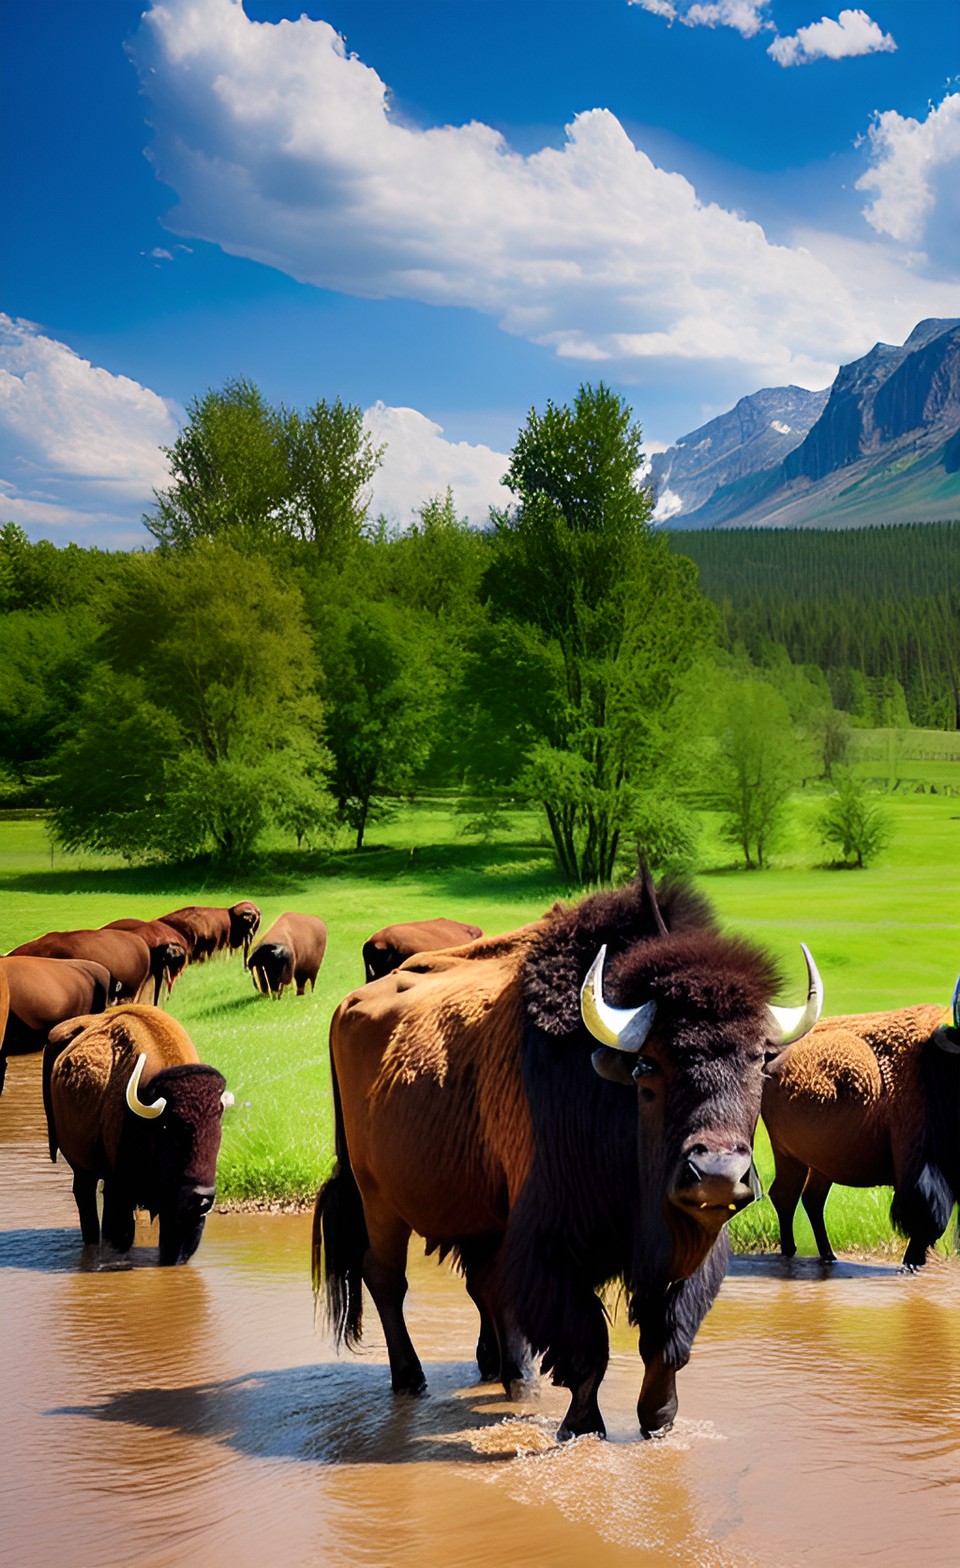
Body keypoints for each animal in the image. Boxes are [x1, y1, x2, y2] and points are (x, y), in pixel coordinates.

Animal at [44, 1003, 233, 1273]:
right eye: (167, 1126)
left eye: (218, 1124)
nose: (201, 1196)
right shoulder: (119, 1191)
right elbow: (119, 1237)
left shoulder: (178, 1213)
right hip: (82, 1168)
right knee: (86, 1205)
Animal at [310, 878, 821, 1436]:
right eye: (648, 1066)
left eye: (761, 1061)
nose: (717, 1174)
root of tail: (347, 1006)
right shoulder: (550, 1245)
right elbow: (586, 1345)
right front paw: (582, 1426)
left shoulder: (684, 1251)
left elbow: (667, 1338)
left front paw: (658, 1419)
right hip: (378, 1197)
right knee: (385, 1278)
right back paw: (412, 1378)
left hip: (478, 1210)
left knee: (483, 1285)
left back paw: (511, 1374)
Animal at [762, 978, 953, 1273]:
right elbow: (925, 1217)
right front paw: (911, 1263)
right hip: (788, 1156)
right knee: (785, 1195)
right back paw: (791, 1251)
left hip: (820, 1164)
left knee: (810, 1199)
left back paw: (828, 1254)